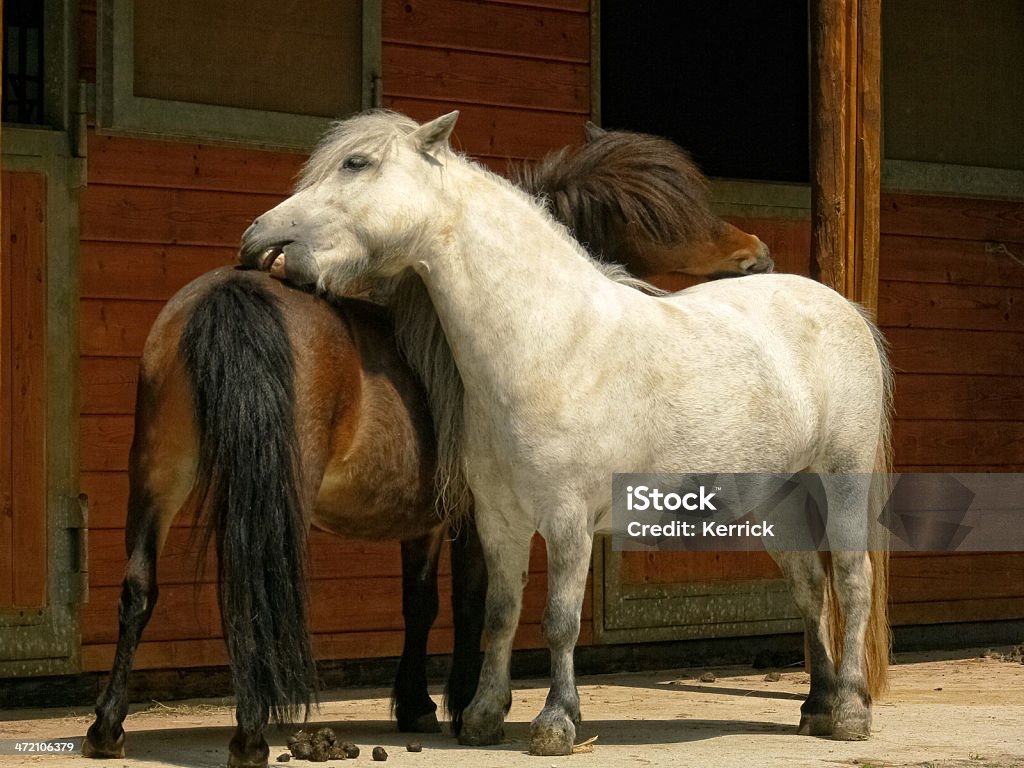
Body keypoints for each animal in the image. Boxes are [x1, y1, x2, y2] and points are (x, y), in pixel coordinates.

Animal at [86, 126, 770, 768]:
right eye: (665, 220)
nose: (758, 254)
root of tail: (232, 293)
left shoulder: (426, 522)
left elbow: (420, 604)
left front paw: (417, 705)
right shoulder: (473, 517)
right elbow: (472, 604)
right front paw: (466, 702)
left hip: (157, 478)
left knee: (139, 589)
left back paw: (107, 728)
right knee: (255, 585)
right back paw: (250, 736)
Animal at [237, 111, 888, 761]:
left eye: (358, 164)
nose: (258, 243)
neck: (549, 341)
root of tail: (845, 309)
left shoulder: (567, 518)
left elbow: (559, 620)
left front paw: (555, 722)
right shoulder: (498, 519)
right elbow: (500, 614)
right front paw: (482, 717)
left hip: (841, 483)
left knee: (852, 581)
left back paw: (851, 712)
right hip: (776, 500)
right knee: (809, 587)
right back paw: (816, 707)